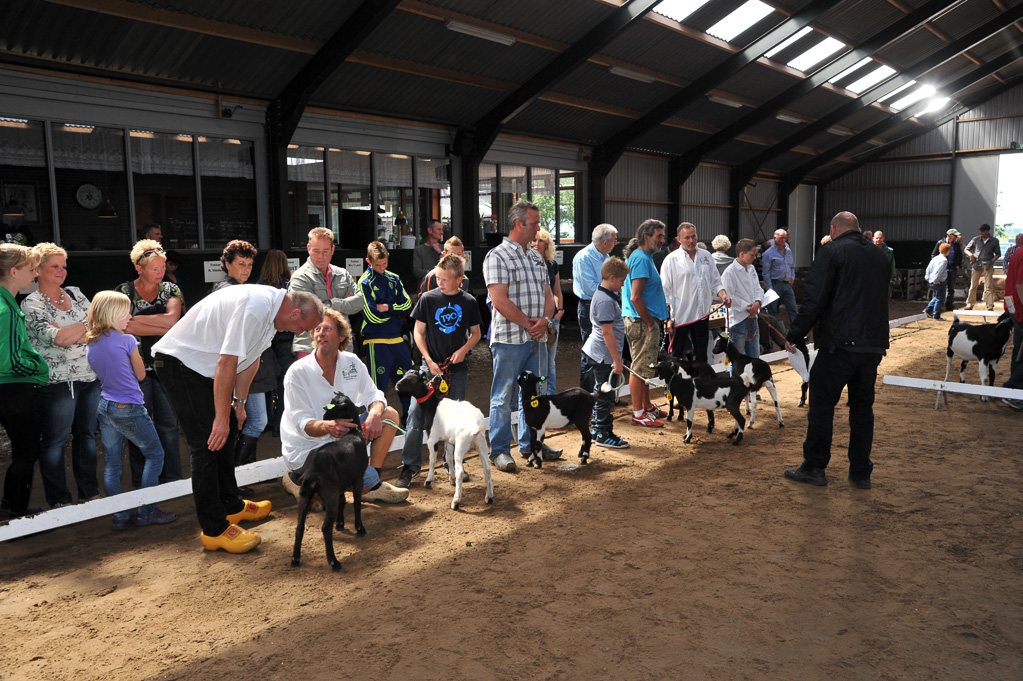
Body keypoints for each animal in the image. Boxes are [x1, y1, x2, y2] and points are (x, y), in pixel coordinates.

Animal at [292, 390, 368, 568]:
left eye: (334, 403)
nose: (324, 417)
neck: (354, 434)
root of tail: (311, 472)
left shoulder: (340, 485)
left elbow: (343, 501)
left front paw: (340, 524)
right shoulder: (358, 478)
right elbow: (357, 503)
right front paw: (359, 528)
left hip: (305, 496)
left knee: (299, 527)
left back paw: (296, 558)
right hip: (329, 493)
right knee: (326, 528)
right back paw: (334, 562)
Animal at [392, 368, 493, 507]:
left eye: (412, 379)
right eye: (404, 375)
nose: (397, 384)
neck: (431, 405)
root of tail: (475, 425)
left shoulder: (432, 438)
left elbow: (432, 460)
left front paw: (429, 481)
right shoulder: (449, 440)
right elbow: (449, 458)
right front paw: (451, 478)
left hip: (461, 445)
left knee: (461, 471)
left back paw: (456, 501)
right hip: (481, 443)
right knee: (487, 469)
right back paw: (489, 497)